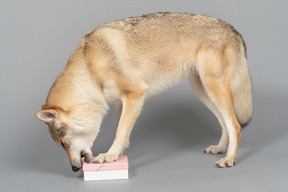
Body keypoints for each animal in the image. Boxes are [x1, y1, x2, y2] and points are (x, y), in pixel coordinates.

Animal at [35, 12, 252, 172]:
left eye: (63, 144)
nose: (74, 169)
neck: (89, 69)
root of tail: (234, 30)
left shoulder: (136, 94)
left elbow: (120, 131)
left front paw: (109, 156)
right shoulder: (121, 103)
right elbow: (123, 131)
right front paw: (119, 154)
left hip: (214, 90)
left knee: (235, 126)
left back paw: (229, 159)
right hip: (204, 93)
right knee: (225, 124)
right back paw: (220, 149)